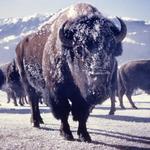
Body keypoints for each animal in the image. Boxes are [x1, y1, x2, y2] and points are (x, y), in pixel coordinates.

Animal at [15, 3, 126, 142]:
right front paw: (66, 134)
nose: (98, 89)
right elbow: (64, 111)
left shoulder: (83, 98)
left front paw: (84, 135)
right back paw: (35, 122)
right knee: (33, 101)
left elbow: (82, 113)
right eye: (79, 49)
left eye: (111, 49)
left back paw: (40, 120)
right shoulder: (56, 92)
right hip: (27, 82)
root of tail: (20, 44)